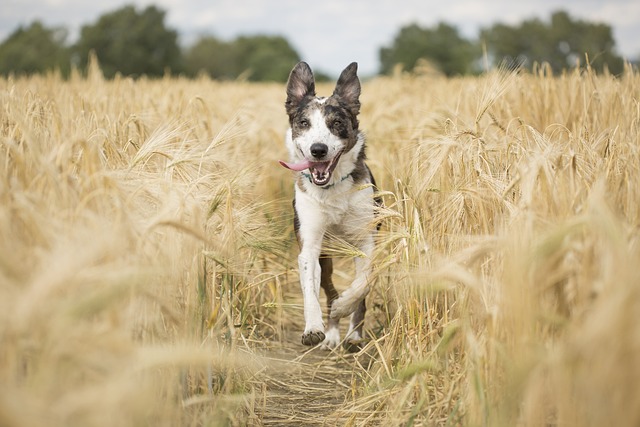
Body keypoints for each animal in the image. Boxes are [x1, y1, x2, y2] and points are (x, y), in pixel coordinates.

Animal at [280, 62, 380, 352]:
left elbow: (362, 284)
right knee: (327, 288)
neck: (332, 188)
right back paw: (332, 334)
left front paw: (344, 308)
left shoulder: (367, 241)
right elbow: (310, 290)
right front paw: (314, 328)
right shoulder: (311, 246)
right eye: (304, 123)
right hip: (326, 258)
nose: (318, 150)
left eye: (336, 123)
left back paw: (353, 334)